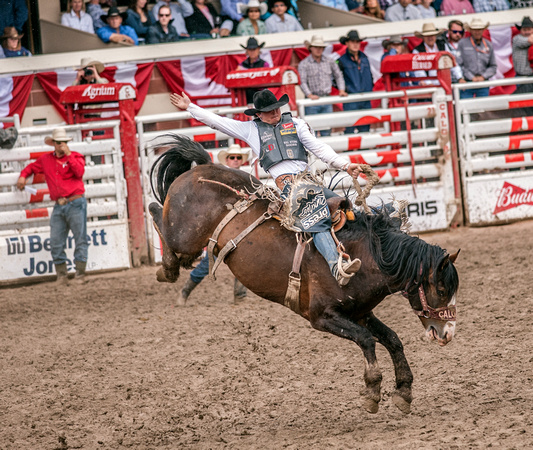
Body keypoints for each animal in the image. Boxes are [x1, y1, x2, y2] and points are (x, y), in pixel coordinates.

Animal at [149, 134, 458, 414]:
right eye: (442, 290)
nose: (446, 334)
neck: (367, 256)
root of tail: (200, 168)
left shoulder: (360, 313)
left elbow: (392, 339)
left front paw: (404, 392)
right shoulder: (322, 317)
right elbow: (367, 340)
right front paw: (372, 391)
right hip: (184, 236)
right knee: (156, 214)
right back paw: (165, 269)